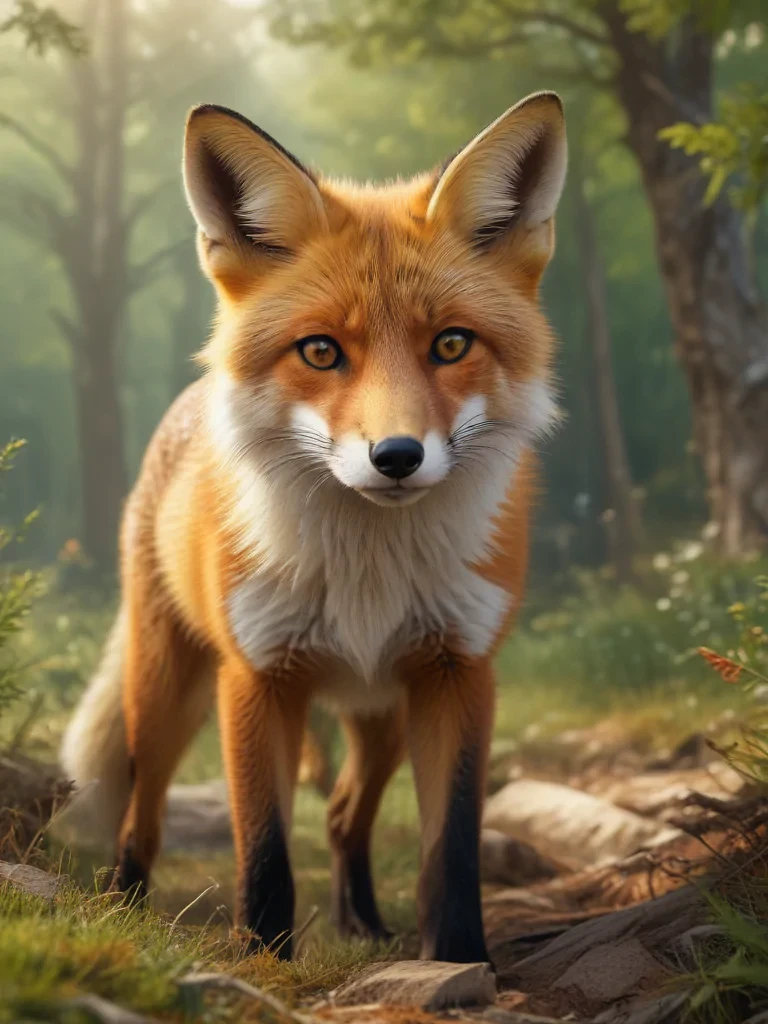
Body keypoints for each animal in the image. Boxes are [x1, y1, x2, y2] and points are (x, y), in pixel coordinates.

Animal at [60, 91, 567, 964]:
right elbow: (263, 853)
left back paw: (362, 919)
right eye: (322, 352)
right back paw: (124, 906)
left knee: (339, 814)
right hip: (168, 693)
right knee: (141, 814)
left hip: (385, 715)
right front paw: (265, 961)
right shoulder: (258, 677)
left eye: (451, 343)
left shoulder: (460, 674)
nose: (396, 456)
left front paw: (459, 960)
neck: (366, 571)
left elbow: (451, 850)